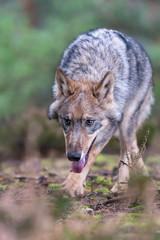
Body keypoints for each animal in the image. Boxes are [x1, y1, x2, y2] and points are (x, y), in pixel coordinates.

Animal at [47, 28, 154, 197]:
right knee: (133, 149)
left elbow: (91, 156)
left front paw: (72, 185)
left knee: (127, 149)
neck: (90, 70)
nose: (73, 156)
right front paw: (77, 183)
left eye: (89, 122)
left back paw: (121, 187)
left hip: (125, 124)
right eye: (67, 120)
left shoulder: (109, 128)